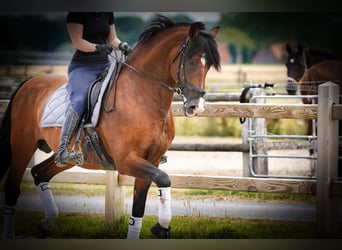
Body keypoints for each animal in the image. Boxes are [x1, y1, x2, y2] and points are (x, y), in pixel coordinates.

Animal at [0, 15, 222, 238]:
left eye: (209, 66)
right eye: (192, 60)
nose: (196, 107)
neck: (141, 96)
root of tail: (28, 83)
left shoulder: (152, 161)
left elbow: (139, 208)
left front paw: (159, 228)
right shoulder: (126, 161)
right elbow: (164, 179)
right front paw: (161, 227)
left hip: (69, 158)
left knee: (39, 172)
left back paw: (46, 223)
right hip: (23, 146)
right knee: (12, 187)